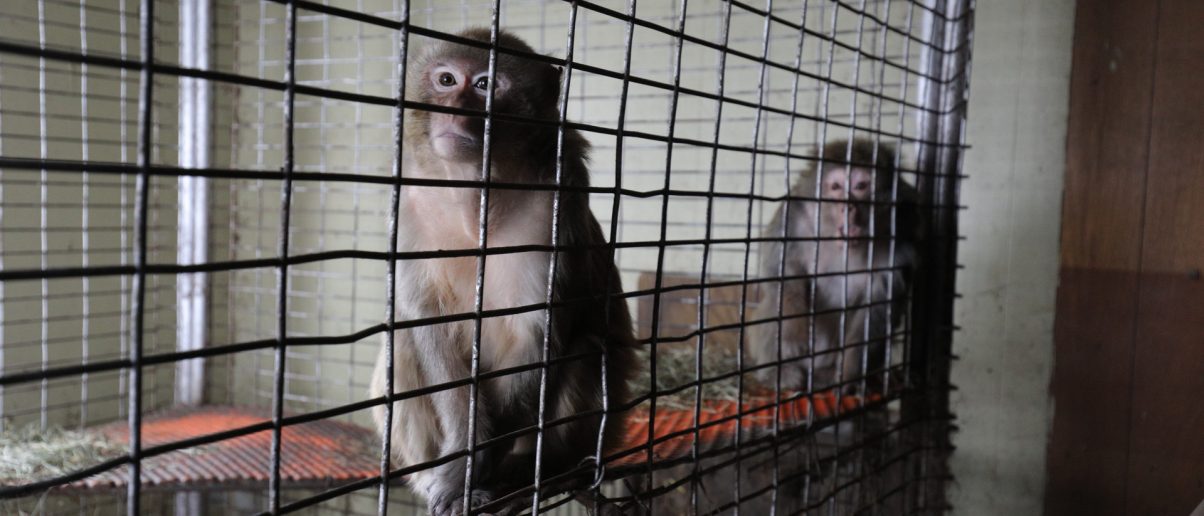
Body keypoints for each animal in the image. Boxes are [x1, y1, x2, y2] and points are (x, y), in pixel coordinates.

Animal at [368, 28, 637, 516]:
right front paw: (460, 463)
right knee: (402, 342)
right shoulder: (411, 202)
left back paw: (540, 469)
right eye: (447, 80)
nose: (454, 109)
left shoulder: (555, 201)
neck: (476, 190)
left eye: (485, 85)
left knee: (588, 350)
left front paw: (470, 468)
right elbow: (430, 323)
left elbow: (537, 333)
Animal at [749, 137, 921, 395]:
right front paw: (792, 333)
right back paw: (781, 374)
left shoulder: (901, 232)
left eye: (860, 186)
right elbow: (783, 273)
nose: (846, 206)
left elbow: (880, 305)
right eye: (836, 187)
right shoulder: (793, 218)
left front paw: (848, 374)